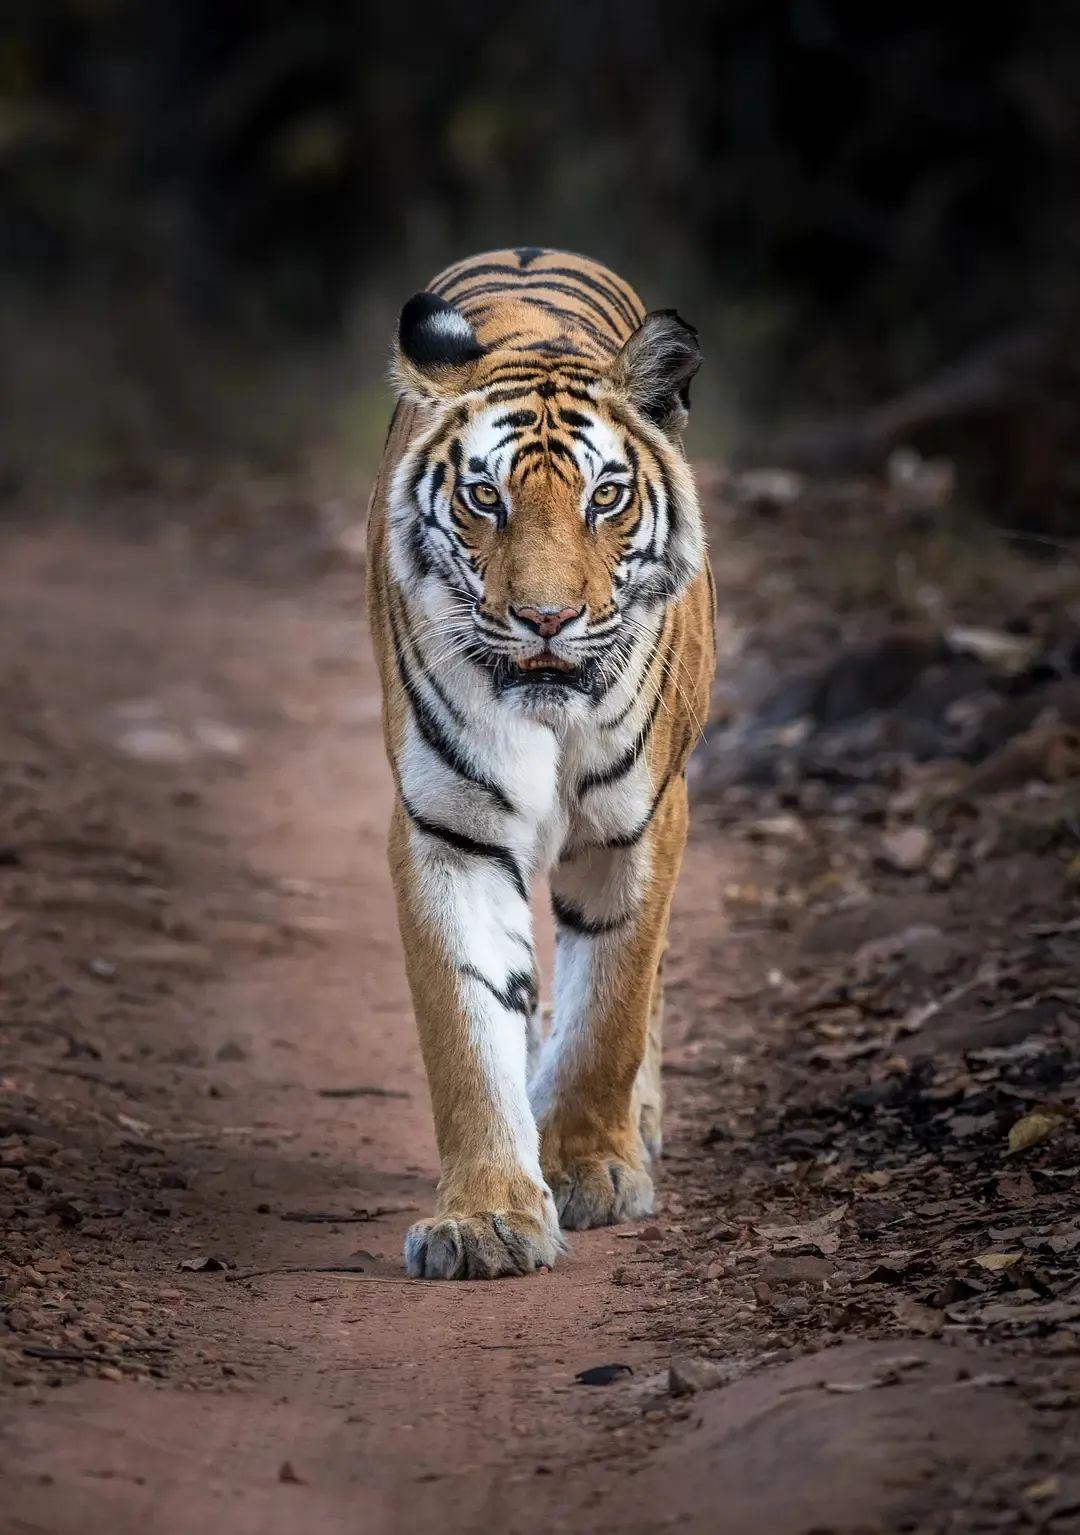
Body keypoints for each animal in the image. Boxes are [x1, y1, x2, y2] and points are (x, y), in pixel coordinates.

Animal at [366, 248, 711, 1283]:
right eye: (486, 497)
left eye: (606, 497)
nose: (547, 620)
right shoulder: (447, 830)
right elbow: (468, 1025)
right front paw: (486, 1215)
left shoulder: (643, 822)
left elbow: (612, 1006)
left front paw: (594, 1167)